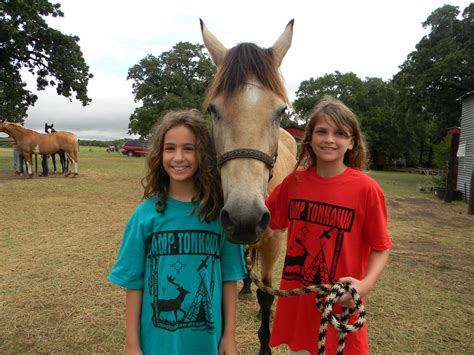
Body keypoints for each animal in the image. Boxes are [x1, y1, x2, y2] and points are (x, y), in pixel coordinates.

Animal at [200, 20, 296, 355]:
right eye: (213, 110)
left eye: (280, 111)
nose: (245, 218)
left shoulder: (273, 240)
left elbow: (266, 293)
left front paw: (265, 345)